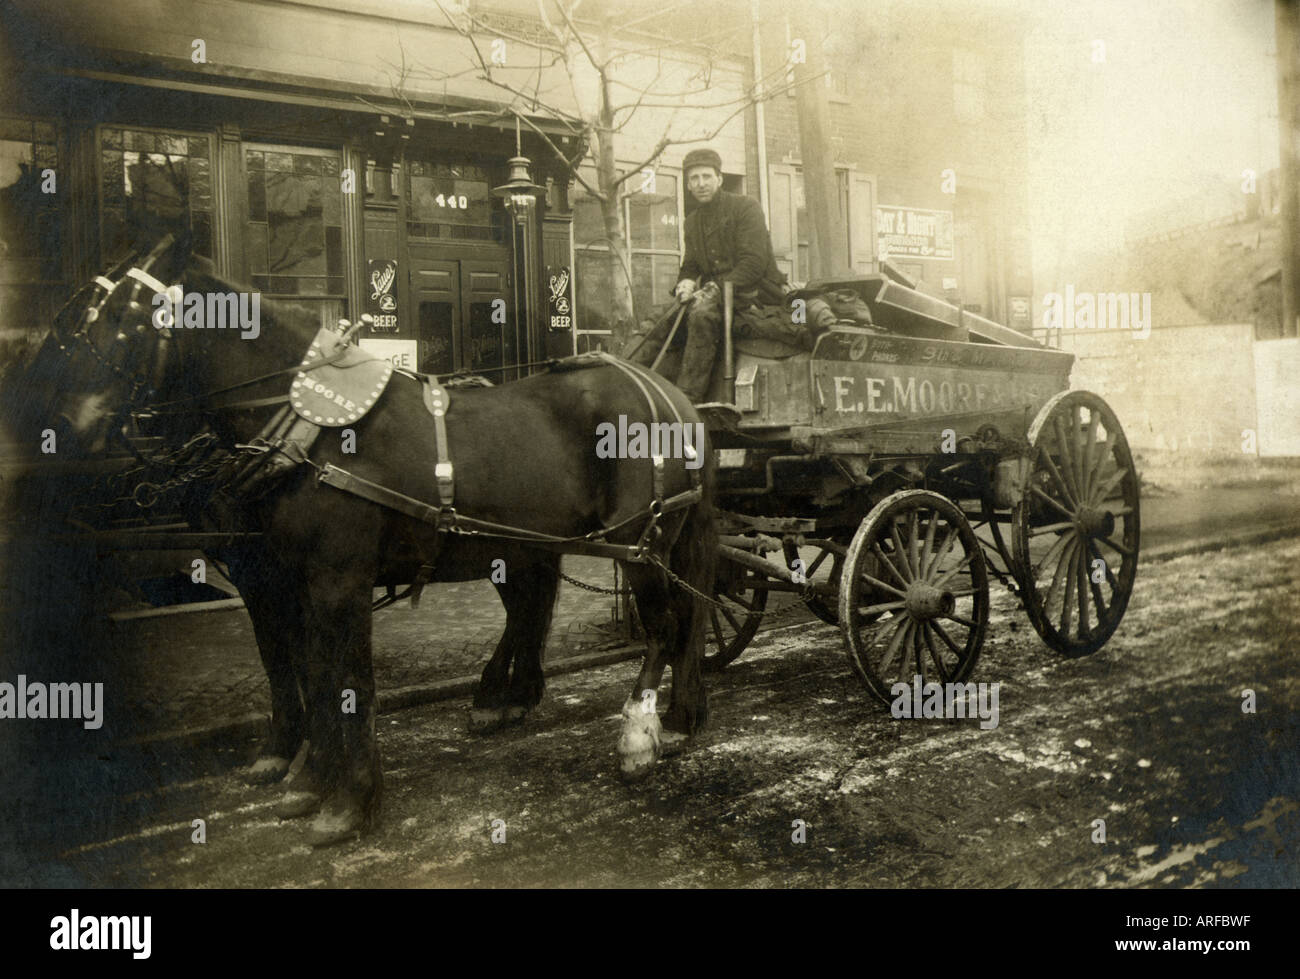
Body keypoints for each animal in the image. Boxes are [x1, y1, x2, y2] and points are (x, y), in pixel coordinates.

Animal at [40, 239, 717, 847]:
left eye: (128, 320)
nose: (63, 428)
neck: (311, 433)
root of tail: (673, 396)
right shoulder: (292, 578)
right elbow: (310, 674)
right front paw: (307, 782)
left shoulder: (335, 578)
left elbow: (349, 683)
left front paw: (348, 805)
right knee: (638, 611)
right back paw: (673, 715)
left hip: (641, 542)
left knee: (663, 624)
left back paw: (637, 735)